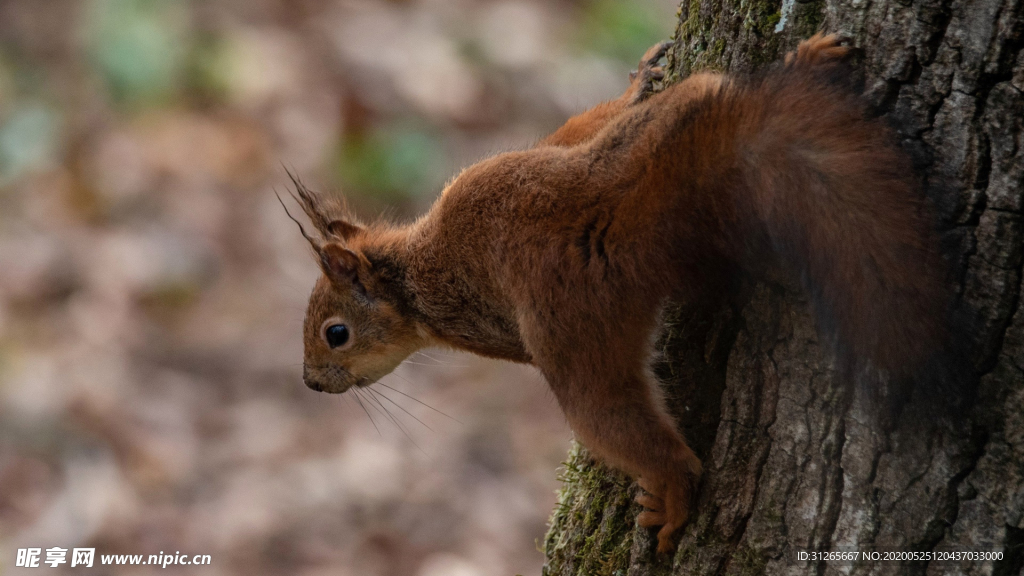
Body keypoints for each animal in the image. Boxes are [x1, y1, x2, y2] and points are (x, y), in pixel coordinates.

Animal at [282, 34, 950, 553]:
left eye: (335, 334)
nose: (312, 383)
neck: (413, 275)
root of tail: (608, 212)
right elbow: (577, 126)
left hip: (574, 337)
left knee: (626, 430)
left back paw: (672, 492)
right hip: (675, 118)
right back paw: (805, 61)